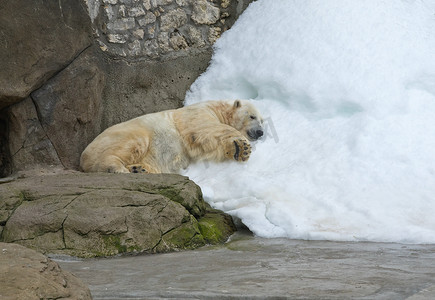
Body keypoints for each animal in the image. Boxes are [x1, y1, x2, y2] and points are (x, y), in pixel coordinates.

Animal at [81, 99, 266, 172]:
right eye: (252, 116)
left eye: (262, 121)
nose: (260, 132)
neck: (219, 108)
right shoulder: (197, 112)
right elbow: (202, 128)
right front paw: (243, 145)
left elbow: (206, 148)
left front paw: (239, 150)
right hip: (123, 134)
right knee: (130, 144)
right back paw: (116, 167)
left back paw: (138, 169)